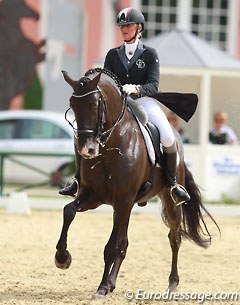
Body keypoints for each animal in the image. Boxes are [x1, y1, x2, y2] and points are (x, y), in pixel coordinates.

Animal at [54, 67, 219, 296]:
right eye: (73, 105)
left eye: (95, 105)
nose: (86, 149)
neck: (111, 144)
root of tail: (178, 140)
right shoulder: (92, 196)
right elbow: (69, 211)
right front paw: (62, 258)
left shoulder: (122, 200)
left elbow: (111, 246)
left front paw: (101, 288)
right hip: (129, 205)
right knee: (124, 244)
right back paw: (112, 283)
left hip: (167, 199)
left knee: (174, 237)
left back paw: (172, 283)